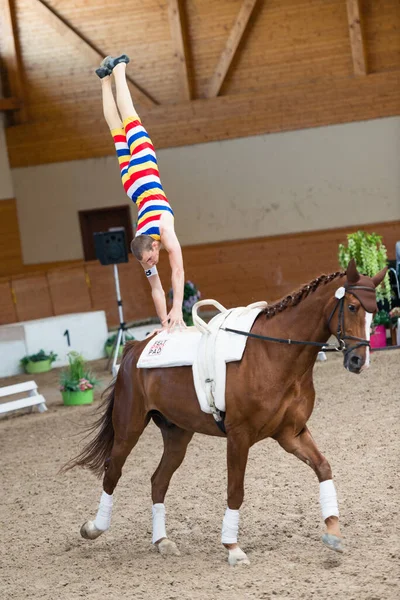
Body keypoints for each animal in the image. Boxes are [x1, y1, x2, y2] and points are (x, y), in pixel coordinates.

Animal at [65, 260, 384, 564]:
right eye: (352, 307)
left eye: (375, 311)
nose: (359, 361)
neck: (275, 354)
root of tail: (135, 347)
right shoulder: (239, 436)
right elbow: (235, 490)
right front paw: (233, 548)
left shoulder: (290, 433)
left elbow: (323, 467)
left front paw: (333, 533)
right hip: (128, 428)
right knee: (113, 472)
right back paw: (94, 528)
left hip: (177, 434)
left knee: (158, 480)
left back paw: (162, 541)